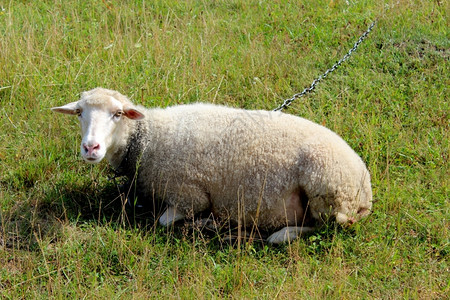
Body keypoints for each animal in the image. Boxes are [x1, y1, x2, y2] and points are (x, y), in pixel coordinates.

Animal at [51, 86, 372, 244]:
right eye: (79, 112)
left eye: (117, 114)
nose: (90, 148)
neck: (149, 139)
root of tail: (365, 191)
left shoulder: (189, 195)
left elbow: (164, 220)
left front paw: (201, 222)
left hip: (327, 190)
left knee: (326, 226)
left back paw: (276, 235)